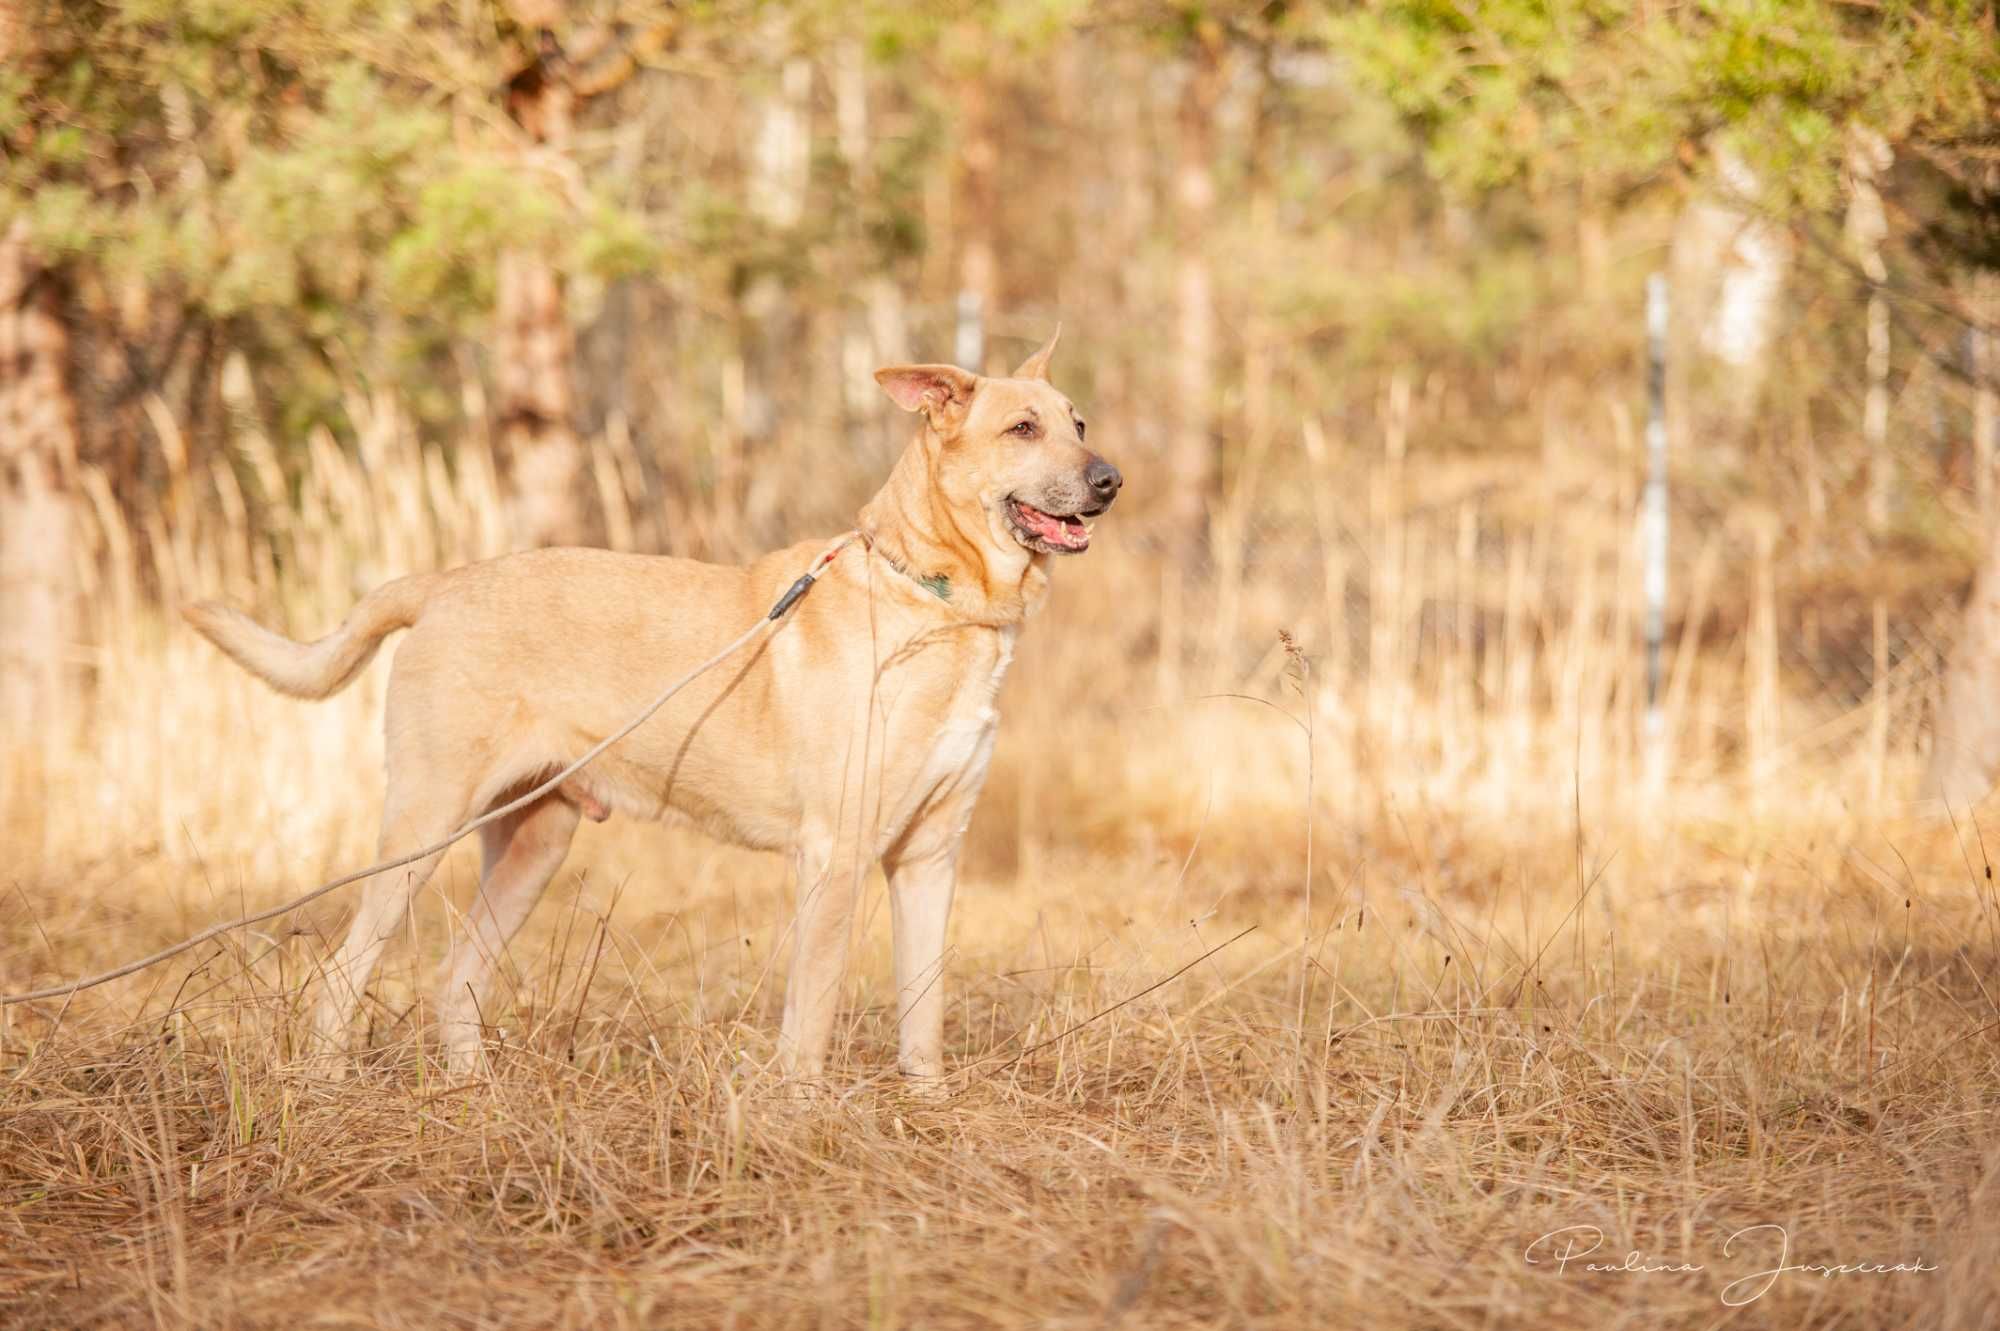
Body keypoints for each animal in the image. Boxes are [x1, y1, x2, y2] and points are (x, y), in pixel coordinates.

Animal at [188, 329, 1120, 1079]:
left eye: (1077, 422)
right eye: (1023, 428)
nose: (1112, 478)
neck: (941, 605)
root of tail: (441, 583)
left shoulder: (930, 857)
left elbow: (923, 1017)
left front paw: (923, 1112)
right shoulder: (838, 856)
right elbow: (811, 1018)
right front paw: (802, 1117)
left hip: (535, 844)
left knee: (455, 976)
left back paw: (471, 1093)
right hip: (421, 829)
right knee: (342, 973)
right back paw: (324, 1086)